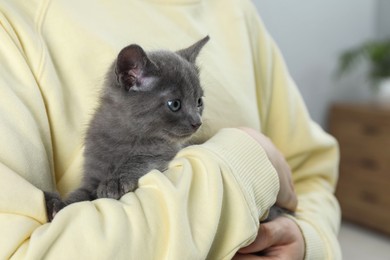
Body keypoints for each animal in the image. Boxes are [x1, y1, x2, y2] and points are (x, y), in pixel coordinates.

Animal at [44, 35, 210, 220]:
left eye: (199, 101)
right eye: (174, 104)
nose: (197, 122)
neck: (123, 137)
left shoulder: (164, 153)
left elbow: (142, 160)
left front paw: (114, 182)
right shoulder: (92, 175)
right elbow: (80, 194)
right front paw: (60, 205)